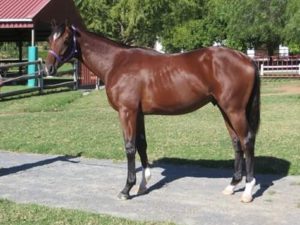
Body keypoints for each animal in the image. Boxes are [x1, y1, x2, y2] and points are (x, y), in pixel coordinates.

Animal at [45, 22, 258, 202]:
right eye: (49, 39)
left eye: (66, 40)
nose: (48, 68)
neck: (117, 62)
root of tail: (247, 59)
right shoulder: (138, 114)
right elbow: (142, 144)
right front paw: (143, 184)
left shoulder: (127, 112)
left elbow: (130, 147)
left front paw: (126, 189)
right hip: (225, 110)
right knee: (236, 142)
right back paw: (232, 185)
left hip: (234, 110)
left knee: (246, 141)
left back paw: (247, 191)